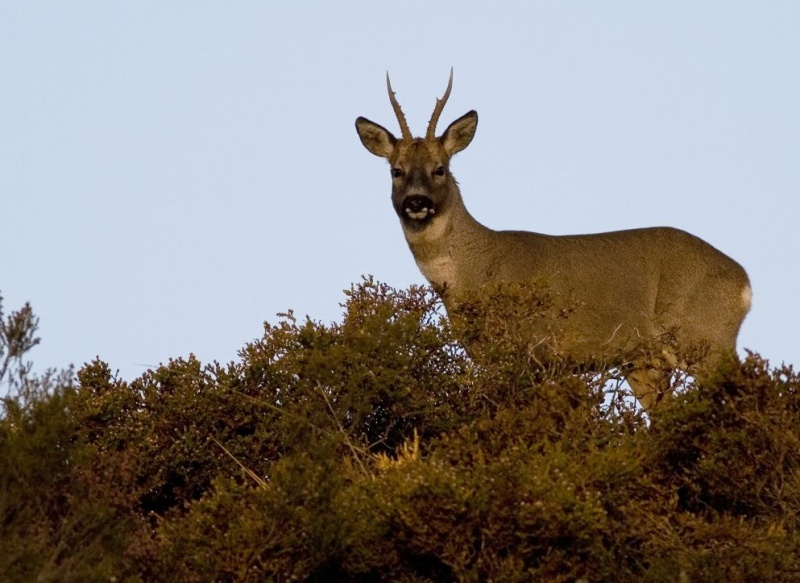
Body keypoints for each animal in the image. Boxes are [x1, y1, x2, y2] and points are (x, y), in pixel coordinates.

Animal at [354, 70, 752, 410]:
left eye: (440, 169)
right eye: (396, 171)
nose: (416, 202)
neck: (474, 271)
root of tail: (744, 283)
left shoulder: (527, 348)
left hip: (704, 335)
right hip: (646, 361)